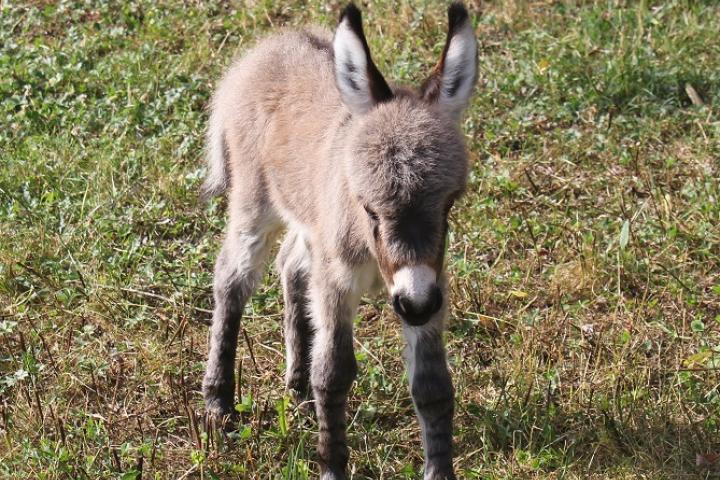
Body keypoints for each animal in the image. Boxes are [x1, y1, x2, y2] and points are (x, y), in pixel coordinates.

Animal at [201, 3, 478, 480]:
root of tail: (270, 46)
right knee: (232, 279)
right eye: (368, 208)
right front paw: (331, 465)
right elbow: (333, 373)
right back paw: (220, 401)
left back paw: (296, 388)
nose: (415, 305)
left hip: (311, 226)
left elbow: (433, 385)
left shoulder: (431, 284)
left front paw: (439, 470)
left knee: (292, 266)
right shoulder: (338, 282)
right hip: (255, 204)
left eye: (449, 204)